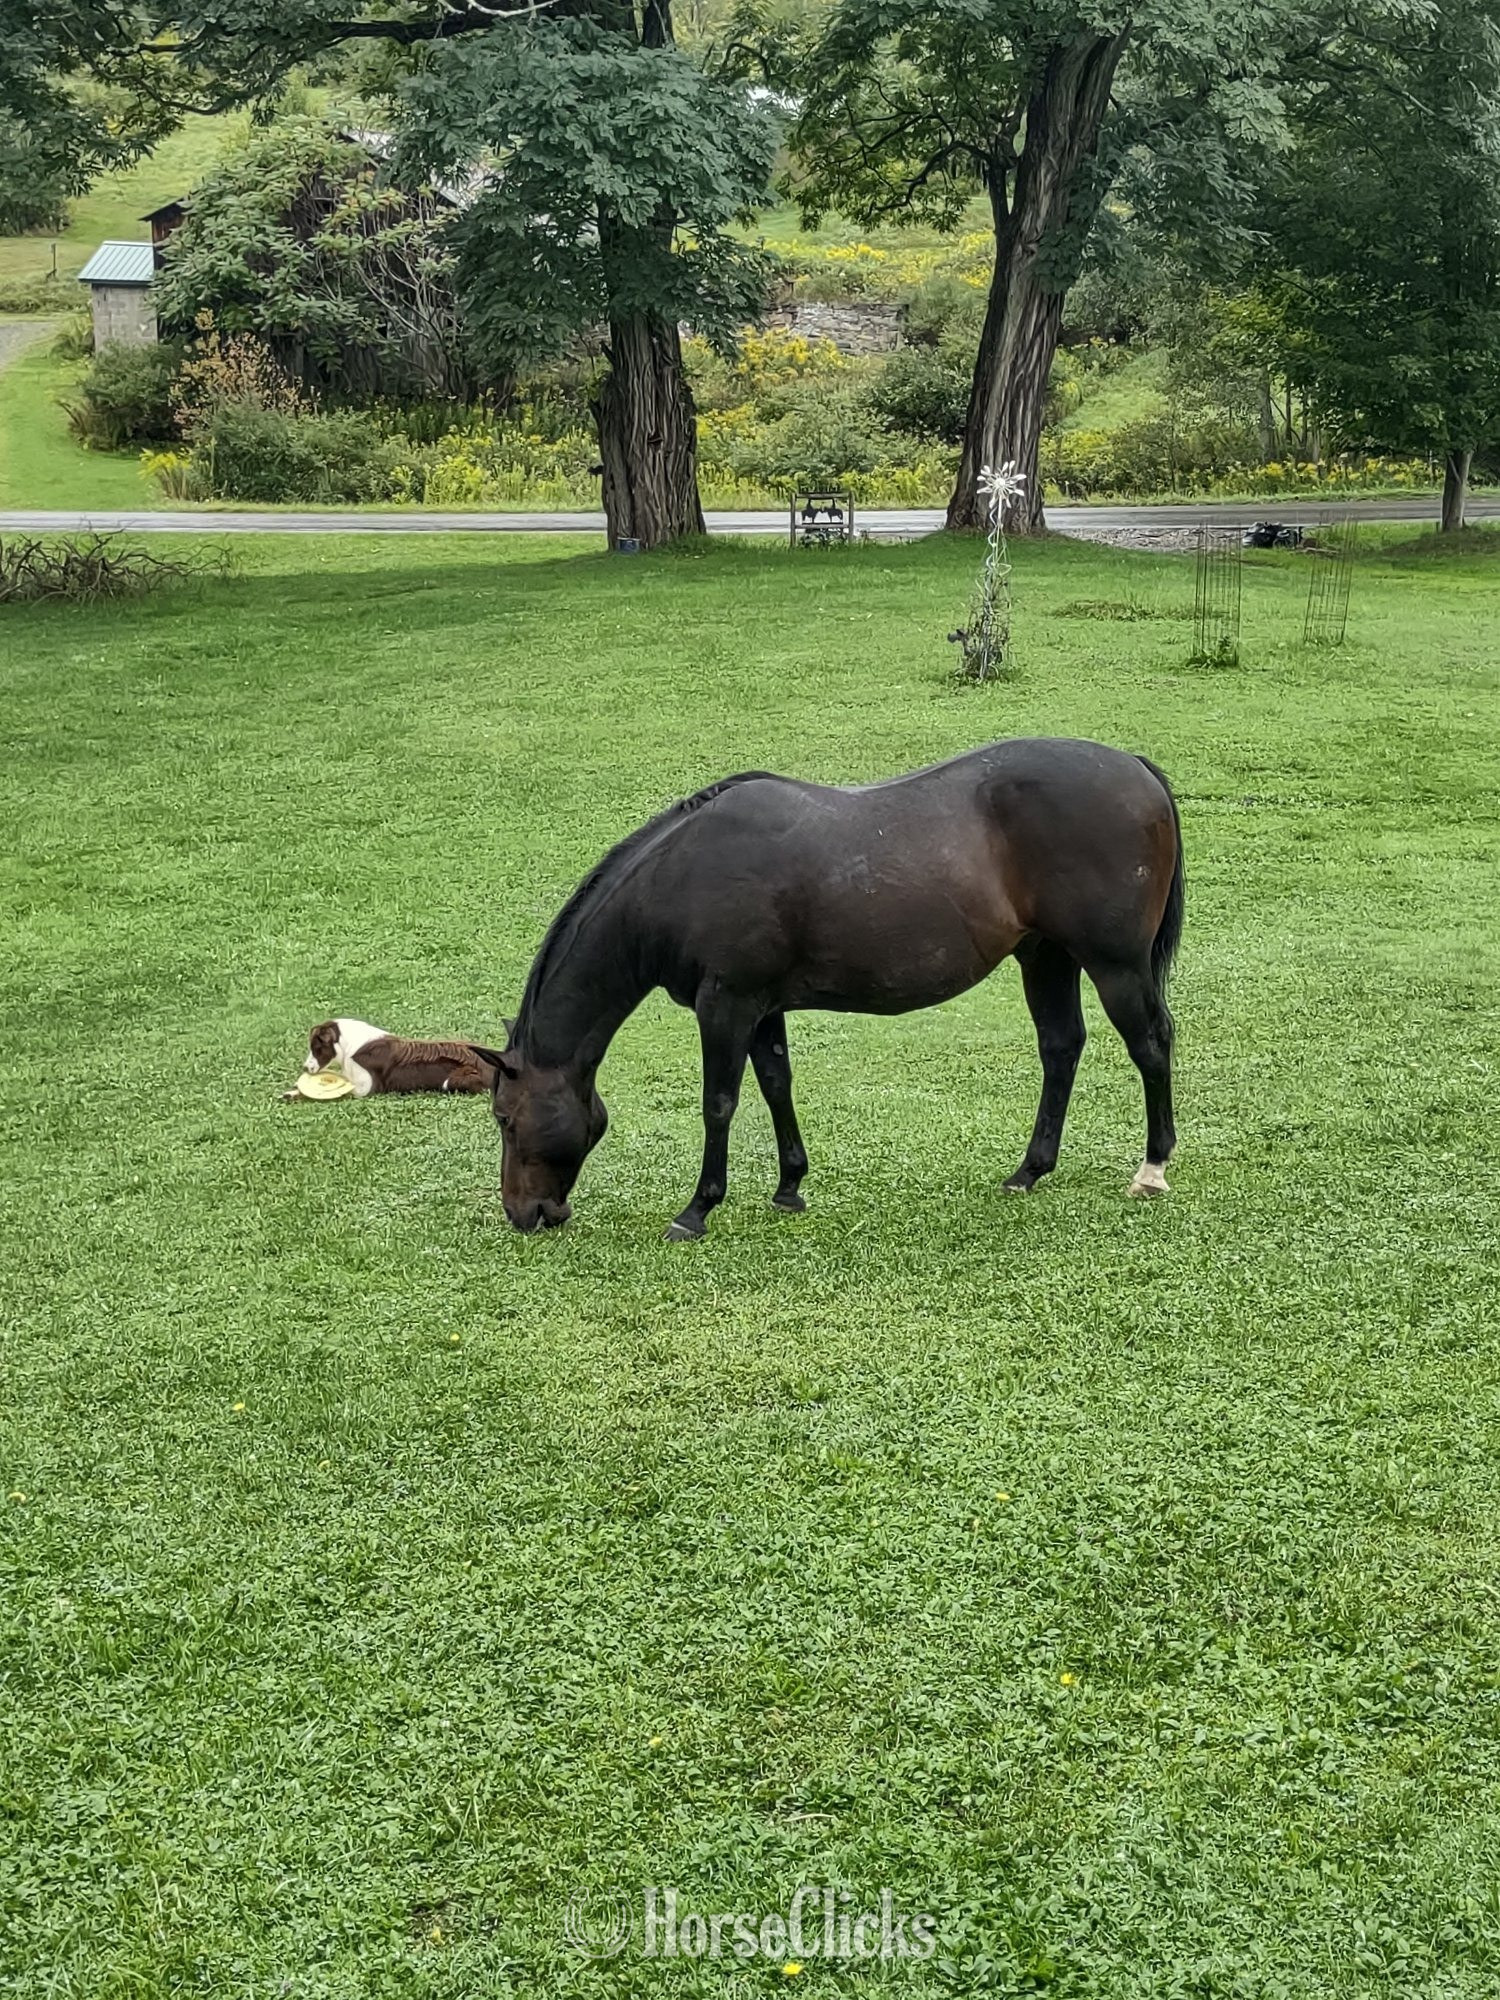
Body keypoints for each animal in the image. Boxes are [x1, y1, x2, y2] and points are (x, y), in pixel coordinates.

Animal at [476, 737, 1184, 1240]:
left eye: (504, 1118)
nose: (523, 1214)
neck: (680, 878)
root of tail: (1137, 769)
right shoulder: (761, 1008)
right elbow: (775, 1084)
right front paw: (789, 1185)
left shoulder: (725, 1005)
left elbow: (719, 1103)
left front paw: (697, 1209)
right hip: (1046, 957)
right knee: (1061, 1047)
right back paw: (1030, 1170)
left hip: (1115, 964)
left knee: (1150, 1043)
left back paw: (1152, 1169)